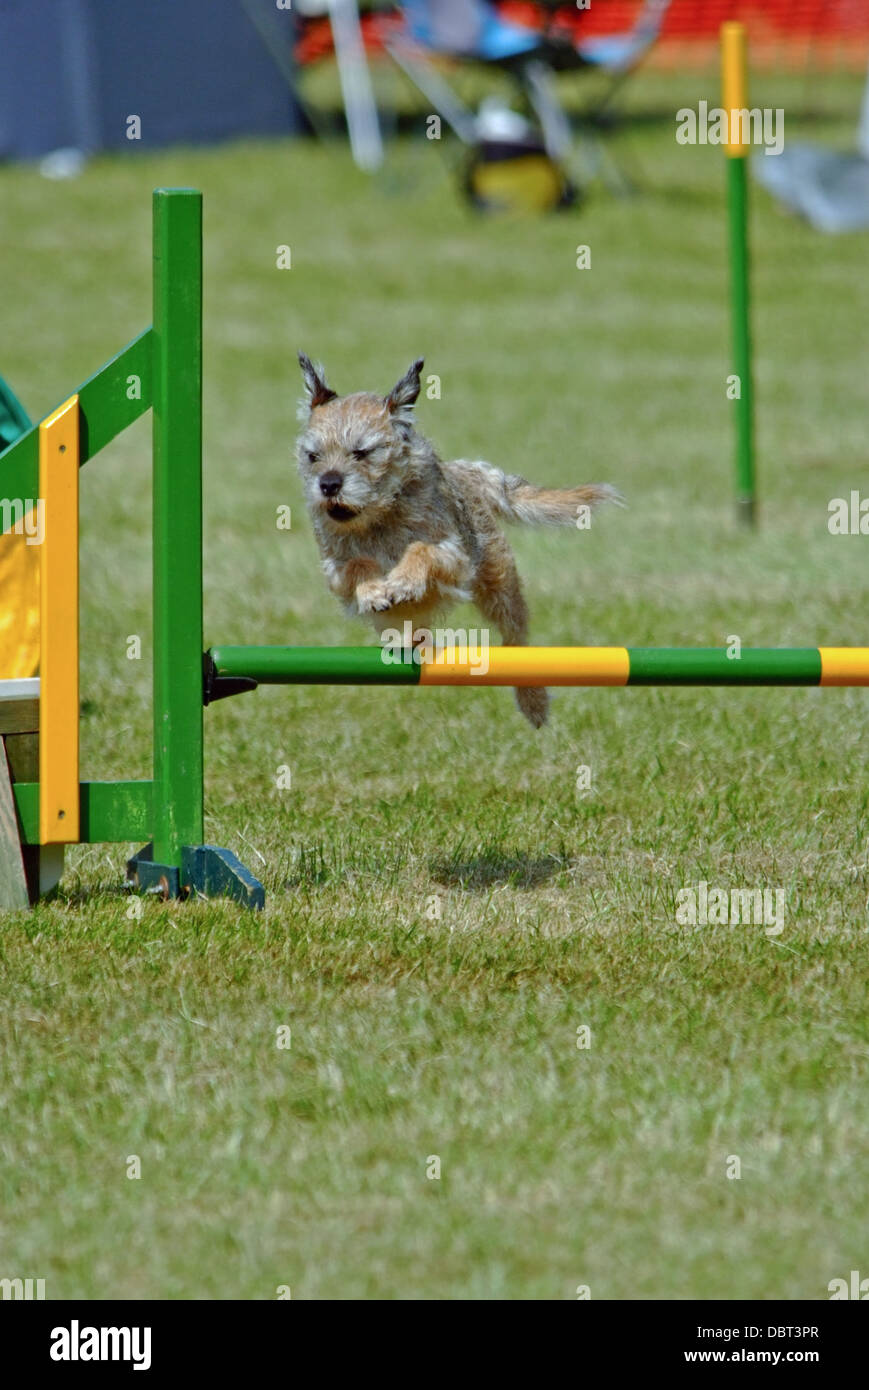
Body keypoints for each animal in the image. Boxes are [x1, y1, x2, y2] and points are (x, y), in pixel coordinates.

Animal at [296, 355, 617, 728]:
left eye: (361, 452)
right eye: (313, 456)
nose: (328, 484)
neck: (379, 517)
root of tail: (469, 472)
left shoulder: (456, 557)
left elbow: (421, 549)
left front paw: (403, 580)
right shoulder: (334, 568)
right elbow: (357, 564)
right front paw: (374, 589)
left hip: (498, 587)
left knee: (517, 639)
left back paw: (533, 699)